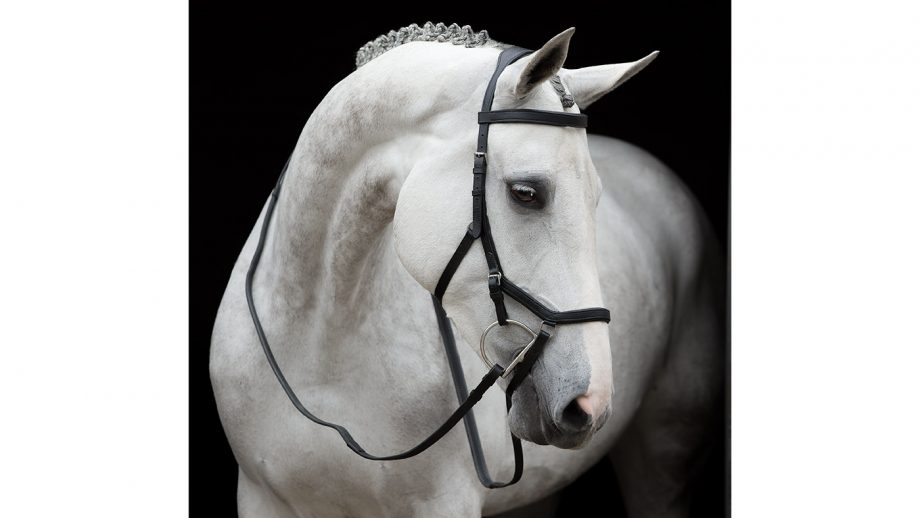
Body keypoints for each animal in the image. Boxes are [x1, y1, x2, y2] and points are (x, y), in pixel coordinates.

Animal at [210, 22, 724, 517]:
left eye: (596, 198)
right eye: (526, 193)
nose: (590, 402)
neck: (322, 357)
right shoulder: (259, 498)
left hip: (663, 455)